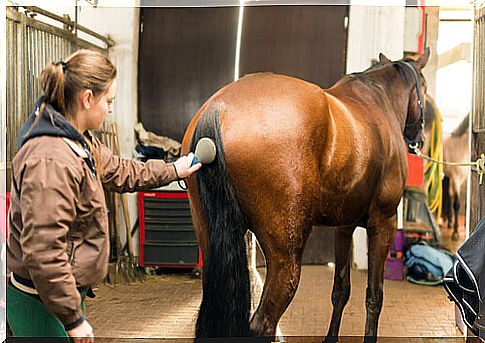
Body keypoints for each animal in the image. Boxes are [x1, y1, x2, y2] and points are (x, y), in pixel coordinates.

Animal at [181, 49, 428, 342]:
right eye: (425, 89)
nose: (419, 139)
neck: (378, 102)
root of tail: (218, 108)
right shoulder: (383, 224)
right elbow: (374, 296)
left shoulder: (343, 228)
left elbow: (341, 290)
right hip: (286, 257)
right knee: (263, 324)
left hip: (211, 243)